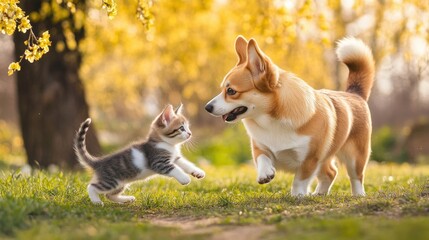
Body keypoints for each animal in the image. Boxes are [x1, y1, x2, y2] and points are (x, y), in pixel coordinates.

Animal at [73, 104, 204, 205]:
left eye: (187, 127)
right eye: (181, 128)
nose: (190, 133)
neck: (166, 144)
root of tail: (99, 162)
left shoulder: (175, 158)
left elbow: (186, 164)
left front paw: (197, 172)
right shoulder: (158, 162)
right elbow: (174, 169)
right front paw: (184, 178)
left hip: (120, 184)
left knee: (109, 195)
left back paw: (126, 199)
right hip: (110, 181)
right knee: (92, 187)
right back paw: (96, 201)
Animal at [206, 36, 372, 197]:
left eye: (231, 91)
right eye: (222, 89)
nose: (207, 107)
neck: (271, 119)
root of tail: (354, 94)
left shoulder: (310, 158)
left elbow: (300, 180)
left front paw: (297, 195)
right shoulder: (260, 147)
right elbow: (262, 158)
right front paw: (265, 174)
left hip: (354, 156)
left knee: (356, 176)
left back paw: (358, 194)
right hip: (325, 160)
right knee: (331, 173)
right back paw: (319, 193)